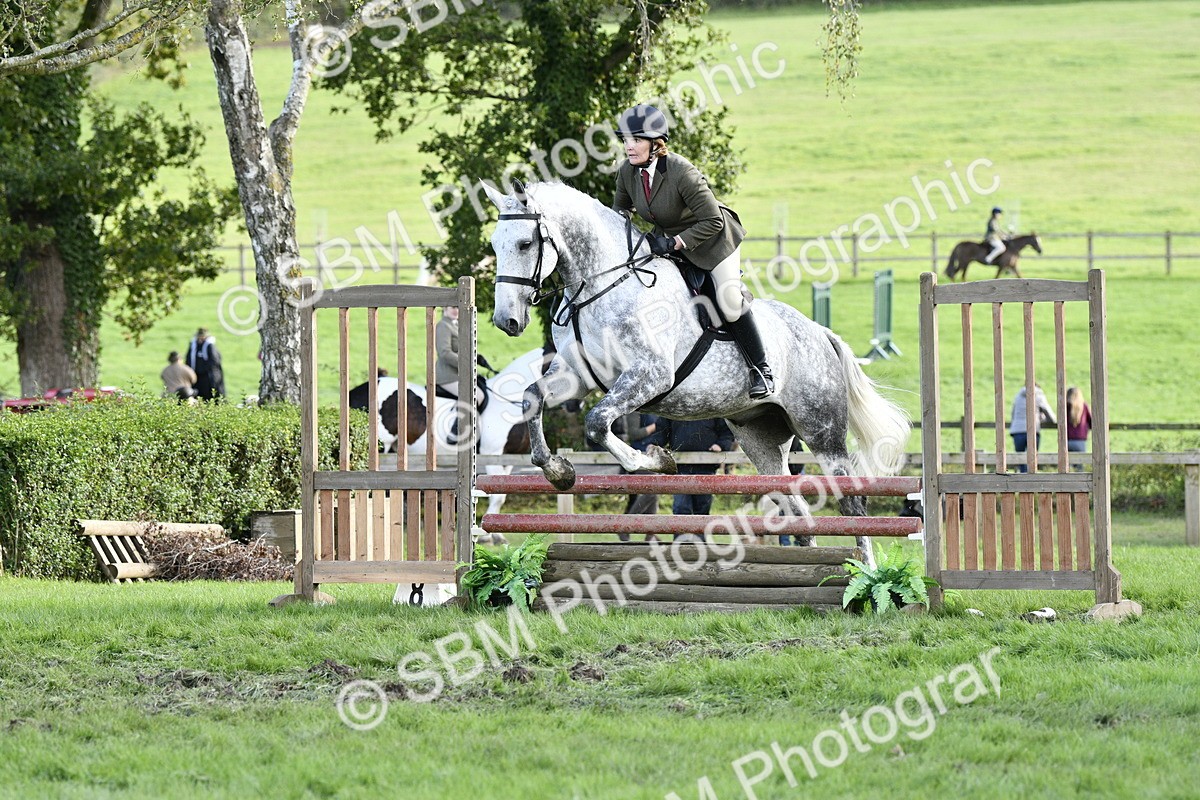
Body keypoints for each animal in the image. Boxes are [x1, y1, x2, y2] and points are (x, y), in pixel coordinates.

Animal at [483, 181, 911, 562]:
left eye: (524, 244)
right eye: (494, 245)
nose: (506, 321)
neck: (601, 286)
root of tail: (821, 333)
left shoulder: (651, 376)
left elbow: (598, 422)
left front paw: (659, 460)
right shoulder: (578, 376)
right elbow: (532, 398)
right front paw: (558, 471)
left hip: (822, 431)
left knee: (852, 503)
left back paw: (865, 572)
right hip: (761, 437)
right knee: (796, 510)